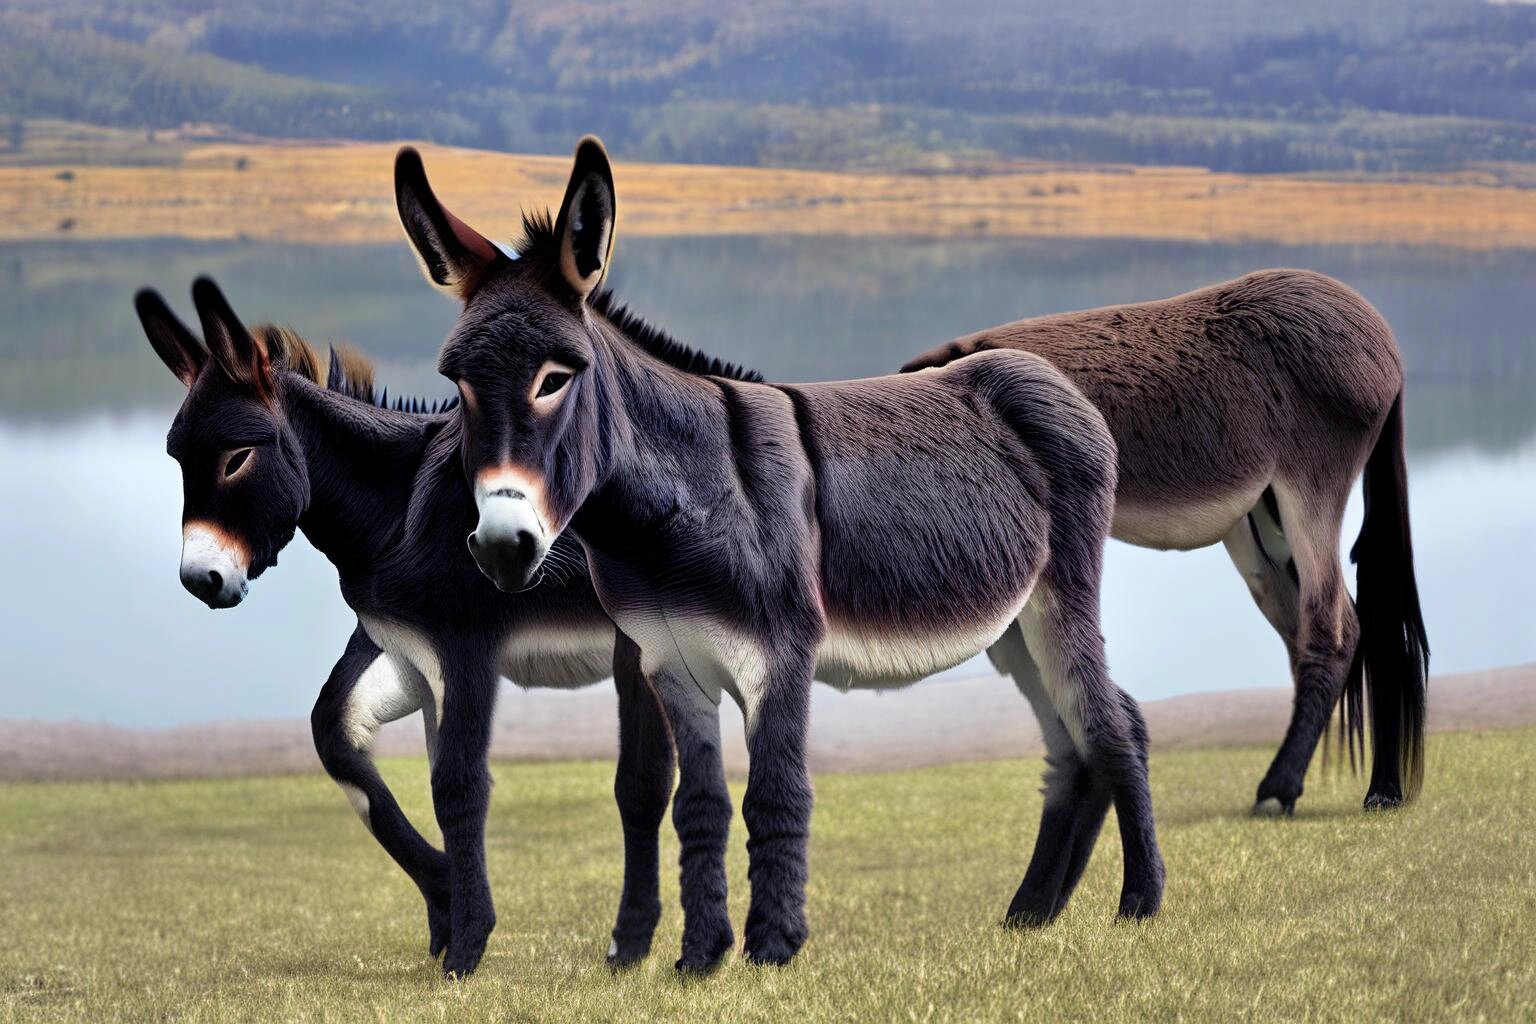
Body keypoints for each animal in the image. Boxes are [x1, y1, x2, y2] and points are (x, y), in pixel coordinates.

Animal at [136, 278, 680, 977]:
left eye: (237, 458)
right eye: (178, 460)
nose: (200, 581)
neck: (399, 509)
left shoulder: (466, 649)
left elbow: (458, 784)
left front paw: (468, 945)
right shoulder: (403, 649)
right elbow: (342, 746)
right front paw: (446, 900)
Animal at [394, 137, 1163, 972]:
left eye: (556, 380)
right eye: (456, 383)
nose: (502, 547)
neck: (673, 512)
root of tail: (1044, 375)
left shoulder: (782, 654)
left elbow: (775, 793)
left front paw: (770, 947)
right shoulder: (673, 665)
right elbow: (696, 806)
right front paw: (700, 957)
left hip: (1059, 598)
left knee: (1111, 723)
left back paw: (1139, 903)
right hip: (1013, 628)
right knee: (1075, 738)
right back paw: (1032, 913)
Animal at [903, 270, 1429, 815]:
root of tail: (1377, 330)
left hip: (1311, 485)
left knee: (1335, 628)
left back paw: (1279, 790)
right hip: (1261, 519)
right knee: (1337, 628)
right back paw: (1379, 790)